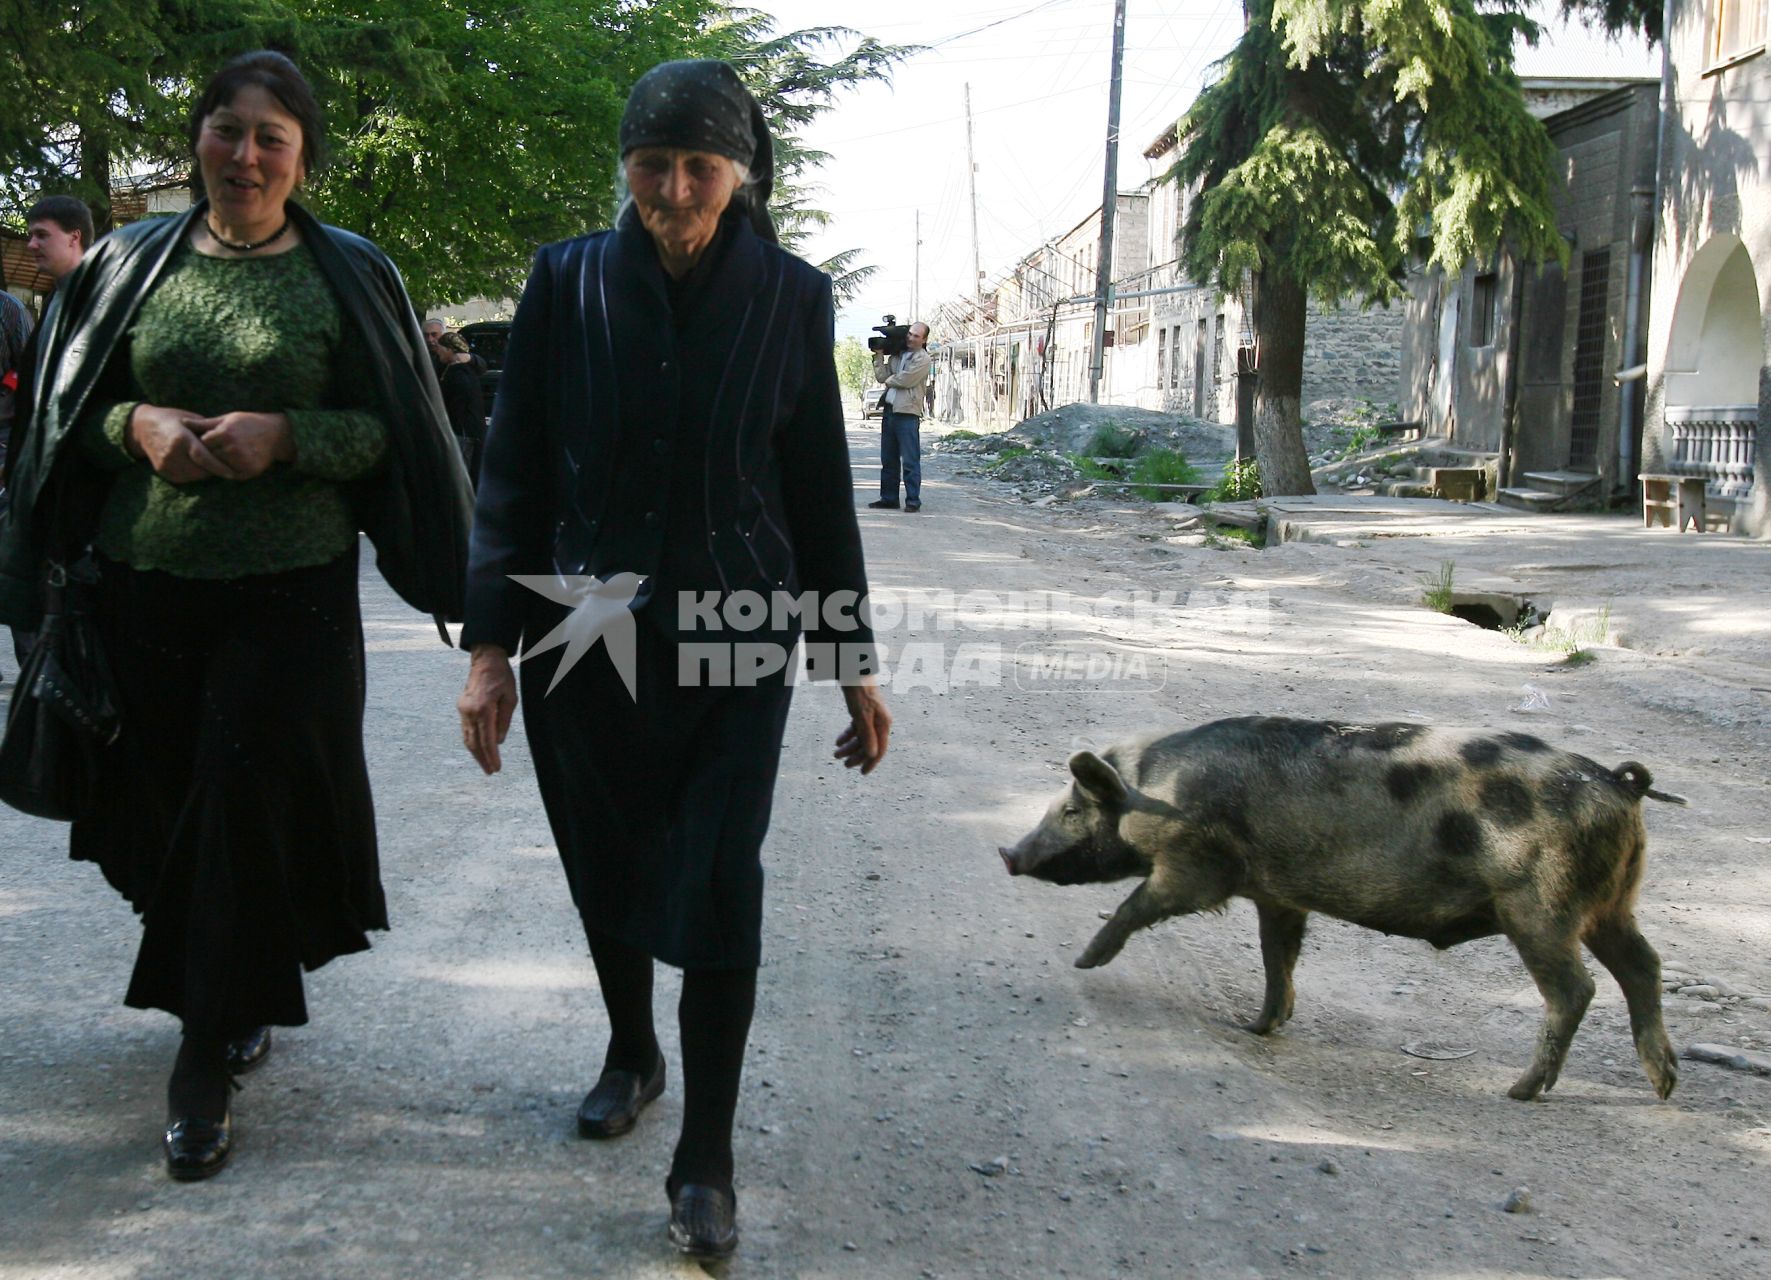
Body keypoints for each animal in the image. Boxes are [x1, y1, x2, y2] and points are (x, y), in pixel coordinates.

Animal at [1005, 722, 1678, 1104]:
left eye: (1071, 810)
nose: (1007, 853)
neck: (1155, 789)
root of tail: (1621, 786)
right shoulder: (1276, 893)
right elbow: (1278, 954)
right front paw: (1259, 1026)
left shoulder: (1196, 865)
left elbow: (1137, 903)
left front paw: (1083, 962)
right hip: (1611, 906)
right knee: (1643, 966)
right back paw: (1665, 1084)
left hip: (1539, 907)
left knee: (1576, 988)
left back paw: (1519, 1093)